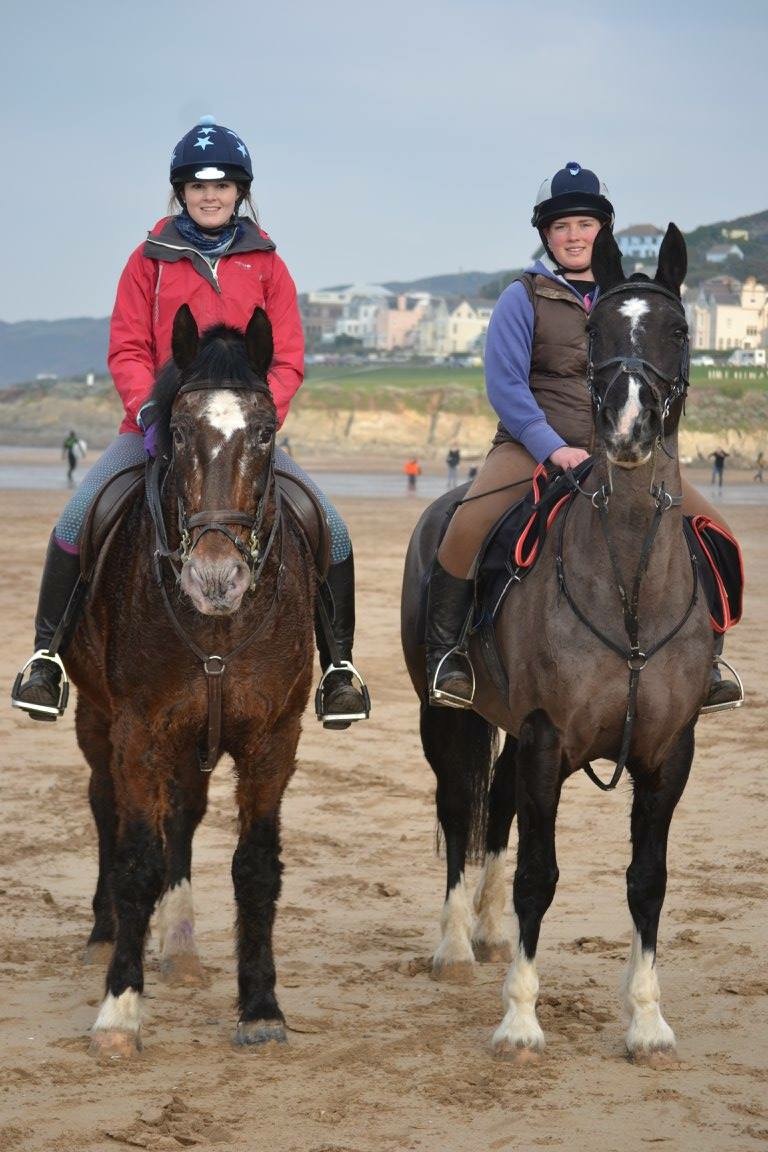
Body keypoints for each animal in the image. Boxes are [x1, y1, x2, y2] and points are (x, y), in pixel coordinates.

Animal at [66, 304, 315, 1055]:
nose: (215, 577)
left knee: (182, 815)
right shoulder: (138, 732)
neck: (219, 629)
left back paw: (178, 947)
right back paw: (106, 932)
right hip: (97, 721)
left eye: (265, 432)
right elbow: (137, 860)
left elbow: (255, 866)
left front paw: (260, 1005)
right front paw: (119, 1009)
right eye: (177, 432)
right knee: (107, 809)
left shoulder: (271, 740)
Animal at [402, 224, 713, 1059]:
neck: (628, 580)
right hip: (449, 718)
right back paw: (454, 943)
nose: (629, 429)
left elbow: (648, 881)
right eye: (596, 332)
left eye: (679, 329)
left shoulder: (668, 753)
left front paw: (647, 1021)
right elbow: (538, 876)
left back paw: (487, 931)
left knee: (499, 805)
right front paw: (519, 1019)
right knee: (459, 812)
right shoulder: (547, 739)